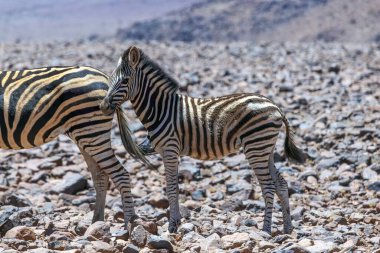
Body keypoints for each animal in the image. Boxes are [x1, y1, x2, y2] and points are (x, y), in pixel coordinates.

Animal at [1, 66, 154, 228]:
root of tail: (106, 77)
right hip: (87, 134)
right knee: (101, 176)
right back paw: (96, 222)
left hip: (91, 131)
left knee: (120, 174)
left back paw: (130, 223)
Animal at [100, 46, 306, 234]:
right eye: (110, 79)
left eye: (125, 81)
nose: (102, 106)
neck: (160, 109)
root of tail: (275, 106)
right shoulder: (171, 152)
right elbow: (175, 187)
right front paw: (176, 222)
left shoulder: (170, 149)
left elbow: (171, 188)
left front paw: (172, 226)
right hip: (266, 150)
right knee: (281, 184)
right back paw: (287, 228)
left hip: (256, 147)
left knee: (269, 187)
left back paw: (266, 229)